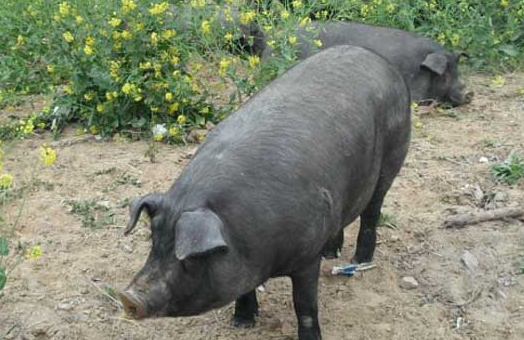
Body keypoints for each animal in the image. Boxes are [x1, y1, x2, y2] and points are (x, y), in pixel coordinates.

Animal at [121, 45, 412, 340]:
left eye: (190, 257)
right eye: (154, 241)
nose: (129, 297)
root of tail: (375, 57)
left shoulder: (307, 257)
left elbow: (304, 304)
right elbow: (245, 288)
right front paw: (242, 322)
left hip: (392, 158)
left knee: (372, 211)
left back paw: (360, 259)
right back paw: (331, 254)